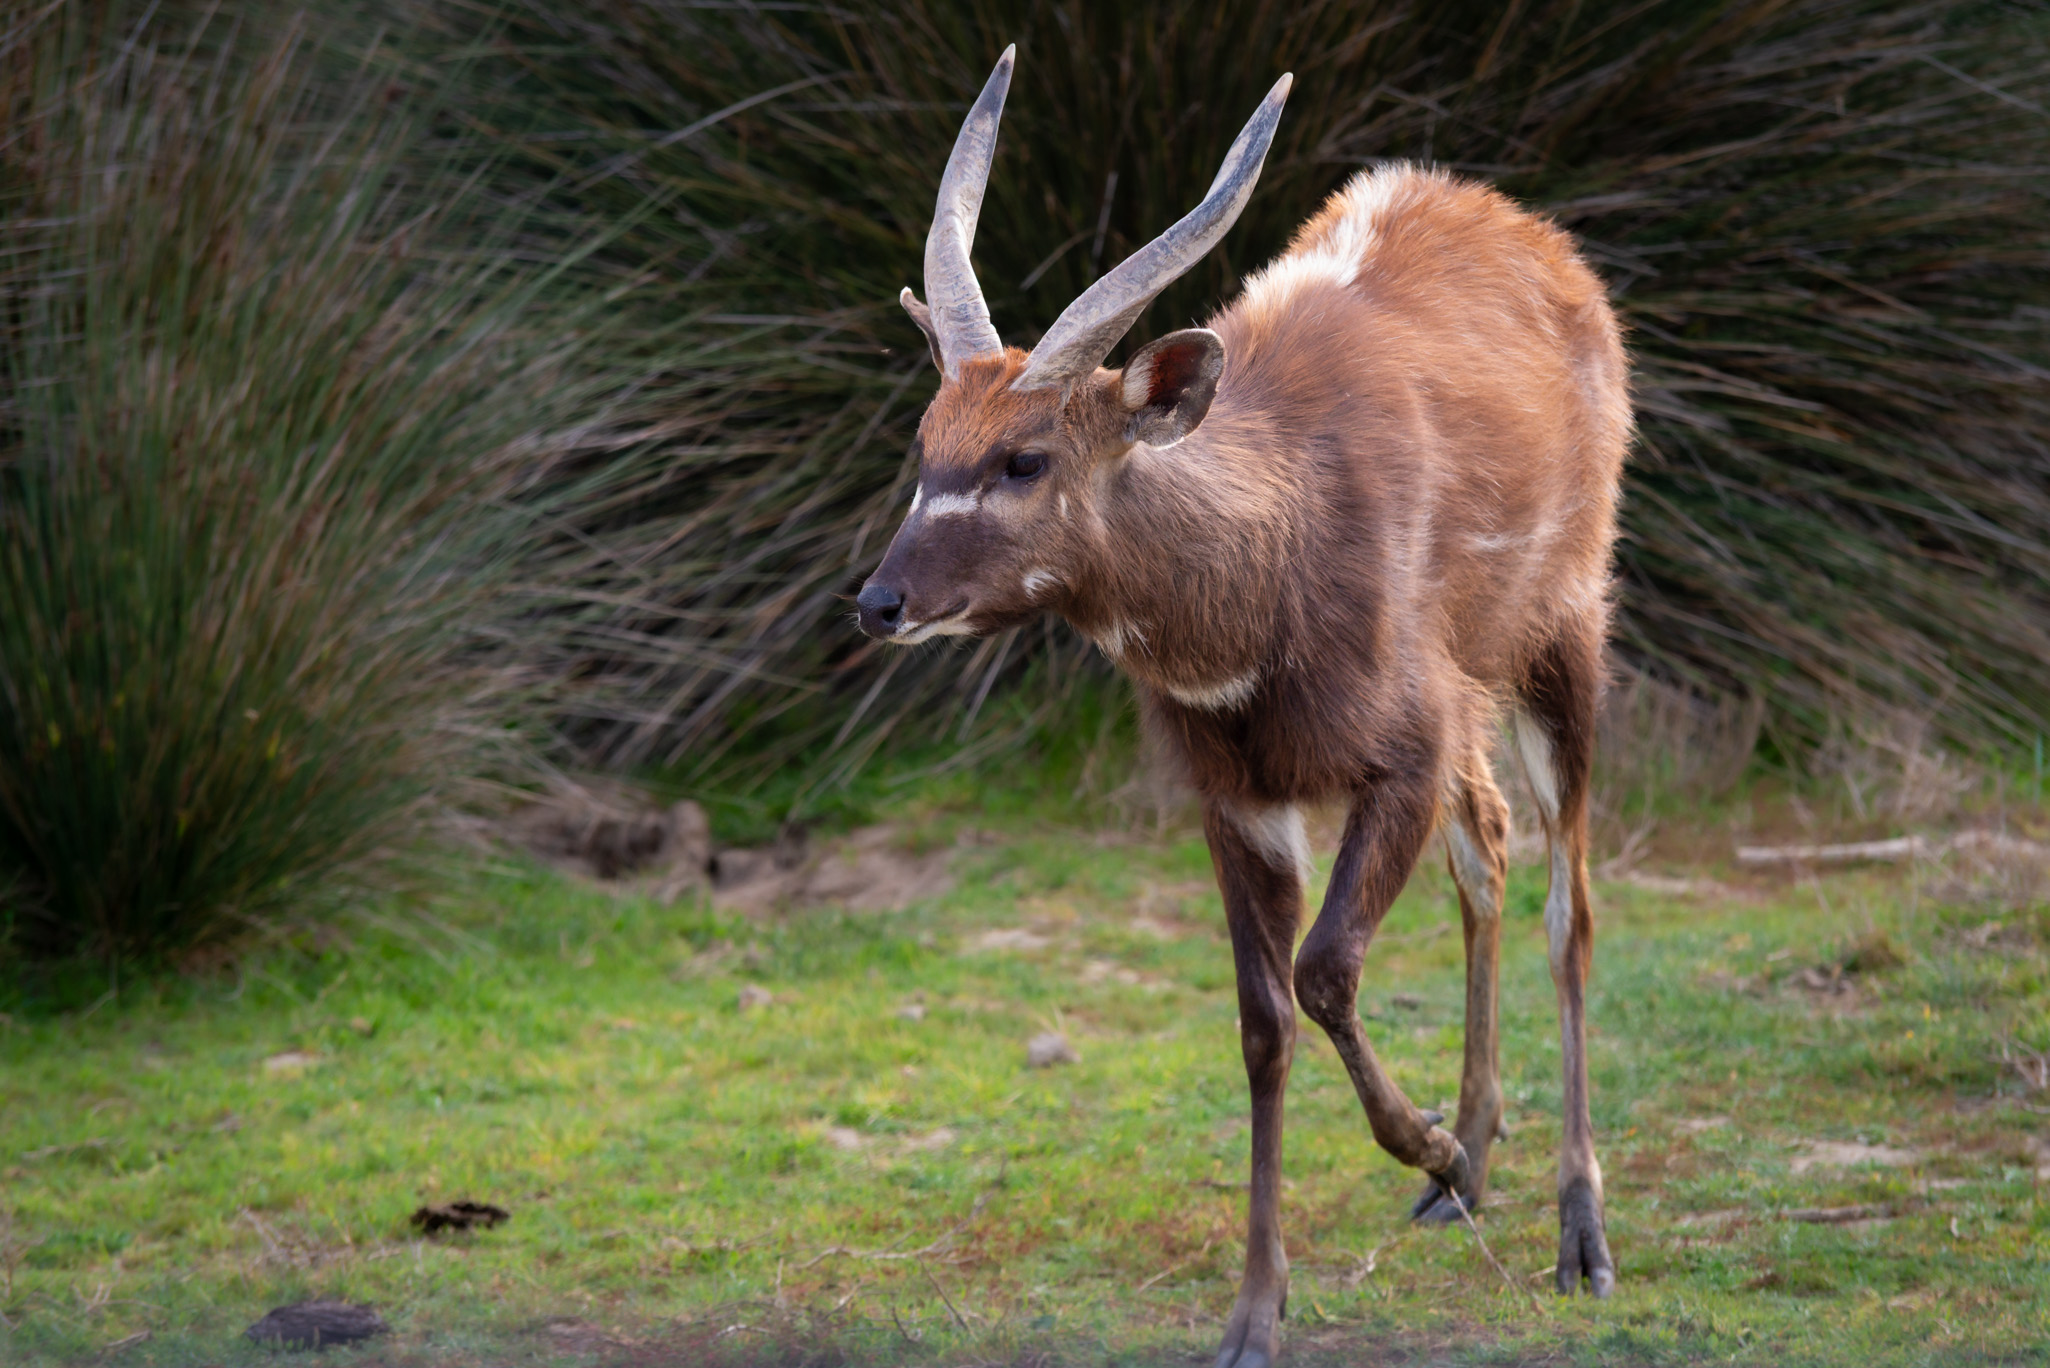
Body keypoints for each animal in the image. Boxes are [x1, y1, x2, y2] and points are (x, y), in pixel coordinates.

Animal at [856, 47, 1628, 1367]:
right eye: (926, 444)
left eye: (1024, 460)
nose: (879, 601)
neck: (1268, 568)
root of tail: (1539, 243)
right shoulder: (1239, 799)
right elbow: (1262, 1019)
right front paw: (1259, 1312)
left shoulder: (1397, 755)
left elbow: (1325, 970)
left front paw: (1424, 1140)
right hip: (1472, 697)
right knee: (1486, 848)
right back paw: (1469, 1174)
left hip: (1561, 635)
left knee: (1564, 902)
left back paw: (1576, 1230)